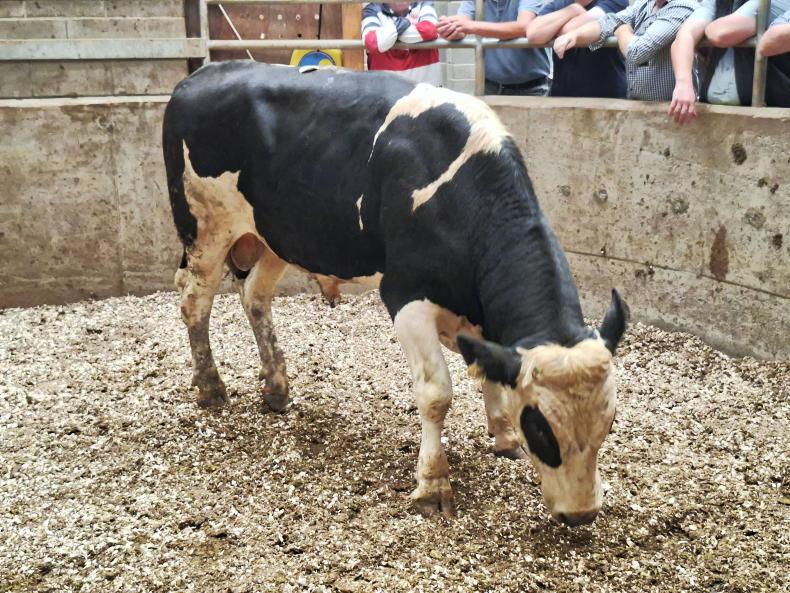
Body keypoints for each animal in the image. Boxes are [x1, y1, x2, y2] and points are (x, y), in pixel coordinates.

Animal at [162, 61, 627, 526]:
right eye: (540, 428)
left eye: (609, 421)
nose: (581, 513)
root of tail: (202, 75)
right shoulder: (406, 295)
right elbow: (437, 395)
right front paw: (433, 484)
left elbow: (486, 369)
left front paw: (502, 434)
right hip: (205, 228)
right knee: (194, 302)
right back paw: (210, 387)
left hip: (279, 237)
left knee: (254, 295)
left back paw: (276, 387)